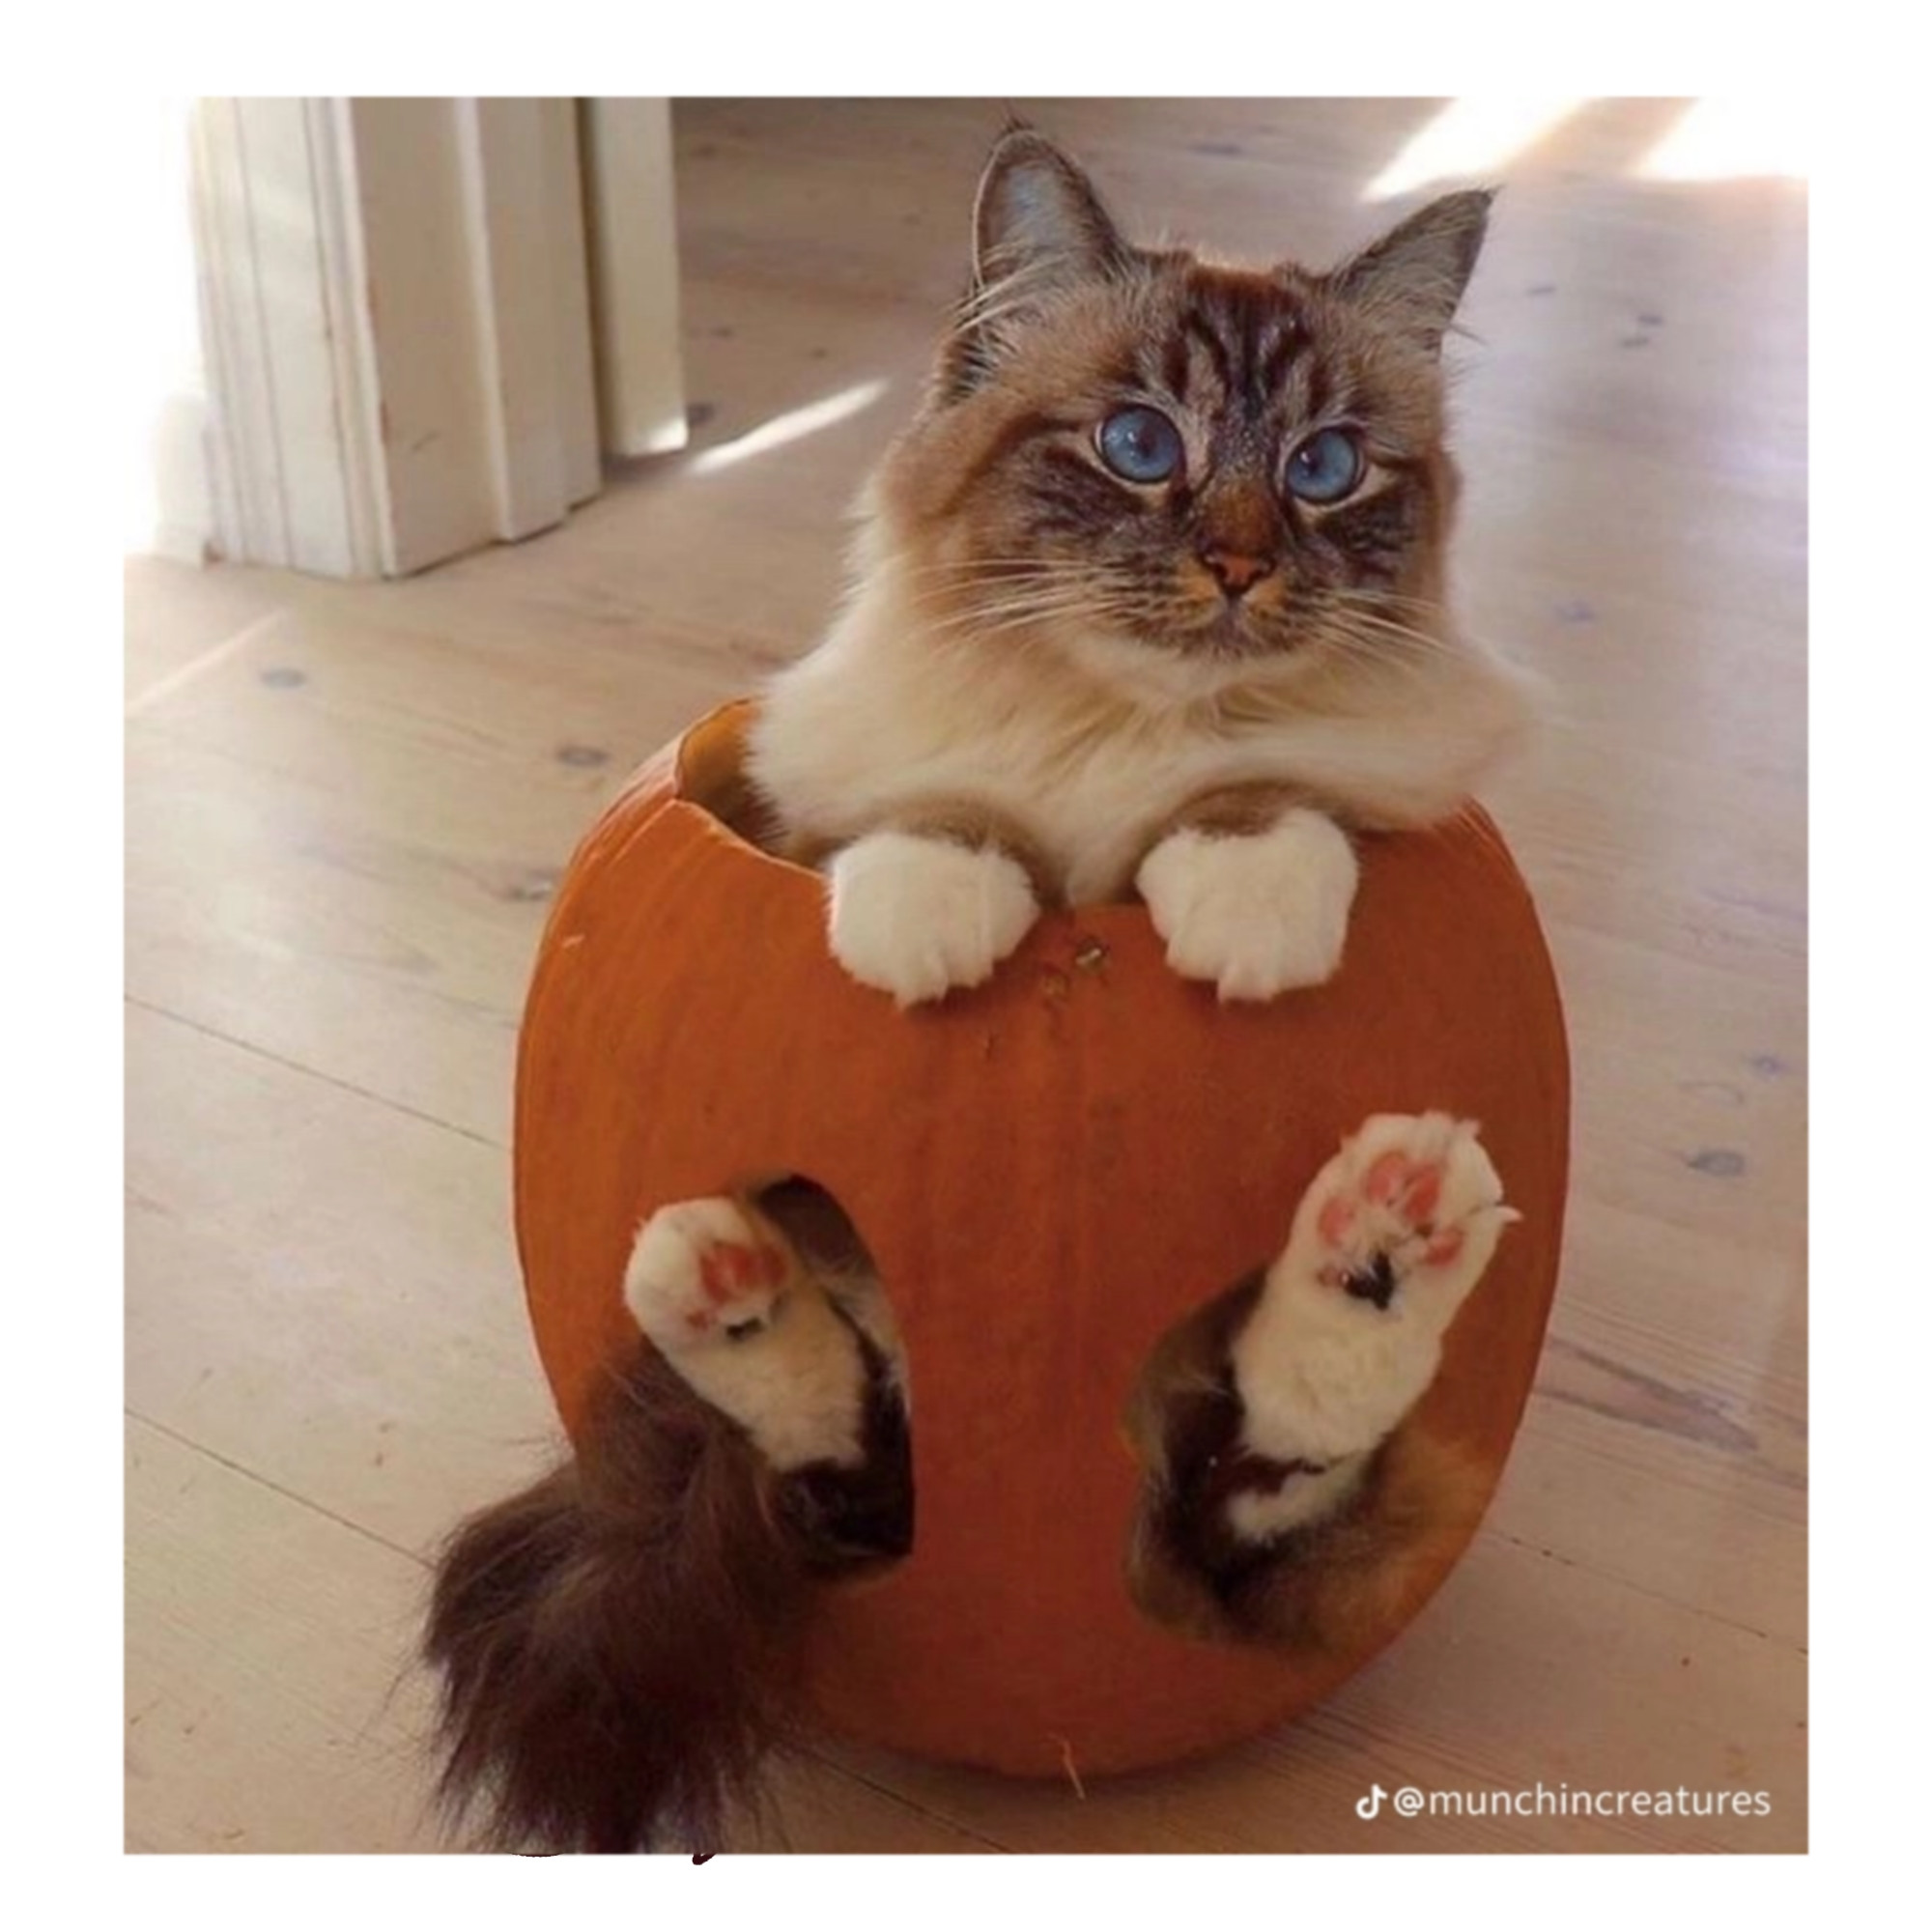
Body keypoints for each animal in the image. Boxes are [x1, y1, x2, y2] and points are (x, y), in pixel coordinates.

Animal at [423, 125, 1522, 1855]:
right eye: (1140, 443)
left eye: (1326, 470)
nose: (1234, 564)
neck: (1115, 740)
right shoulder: (840, 794)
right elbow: (940, 814)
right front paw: (936, 917)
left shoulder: (1379, 790)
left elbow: (1266, 794)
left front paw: (1242, 901)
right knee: (858, 1476)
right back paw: (721, 1280)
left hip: (1226, 1452)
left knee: (1260, 1480)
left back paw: (1387, 1236)